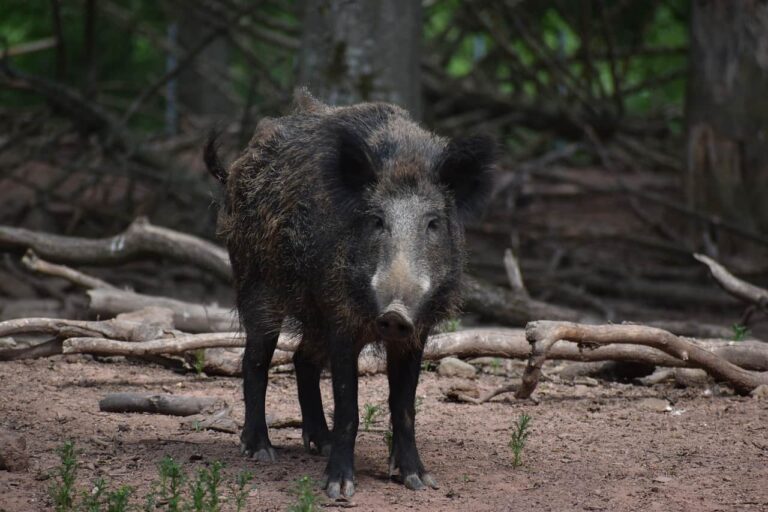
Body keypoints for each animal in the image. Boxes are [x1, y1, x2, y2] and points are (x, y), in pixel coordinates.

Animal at [204, 89, 495, 499]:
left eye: (433, 223)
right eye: (376, 220)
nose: (394, 314)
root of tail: (237, 167)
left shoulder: (416, 333)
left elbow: (404, 406)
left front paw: (417, 481)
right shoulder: (341, 319)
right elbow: (348, 407)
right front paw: (339, 489)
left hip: (312, 313)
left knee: (302, 359)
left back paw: (319, 443)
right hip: (257, 285)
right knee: (255, 361)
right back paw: (261, 451)